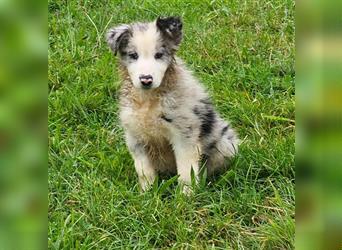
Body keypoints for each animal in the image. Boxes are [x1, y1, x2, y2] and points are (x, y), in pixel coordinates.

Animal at [106, 17, 238, 193]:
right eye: (133, 55)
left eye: (159, 55)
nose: (146, 79)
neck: (149, 101)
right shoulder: (134, 137)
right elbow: (144, 171)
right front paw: (147, 193)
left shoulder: (184, 135)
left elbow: (187, 171)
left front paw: (186, 196)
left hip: (224, 144)